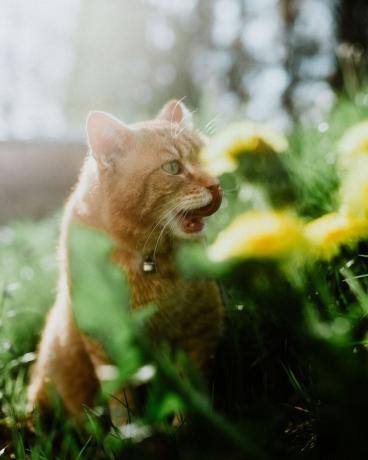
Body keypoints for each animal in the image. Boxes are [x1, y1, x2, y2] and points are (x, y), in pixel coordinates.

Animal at [27, 99, 224, 416]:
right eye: (172, 167)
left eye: (206, 158)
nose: (216, 185)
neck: (146, 258)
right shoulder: (105, 342)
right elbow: (122, 404)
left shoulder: (200, 330)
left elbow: (189, 400)